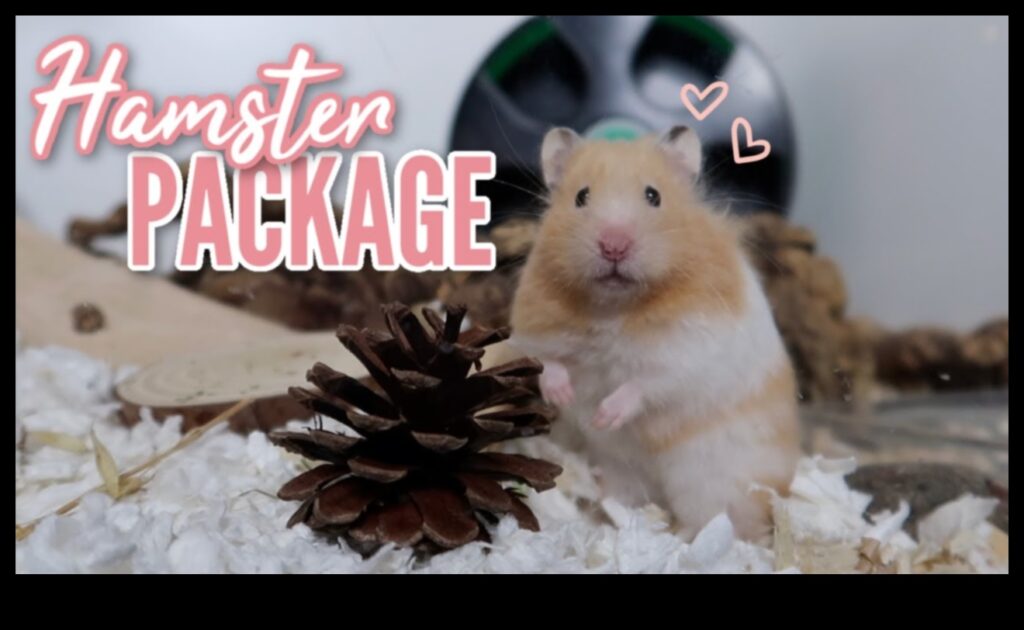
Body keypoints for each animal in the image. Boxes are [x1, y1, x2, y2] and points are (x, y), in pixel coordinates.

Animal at [507, 126, 801, 542]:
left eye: (653, 196)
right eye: (581, 197)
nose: (613, 246)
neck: (613, 307)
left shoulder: (689, 351)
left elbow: (646, 383)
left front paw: (606, 416)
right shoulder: (535, 331)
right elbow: (549, 363)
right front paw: (563, 396)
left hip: (714, 484)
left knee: (718, 519)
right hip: (623, 473)